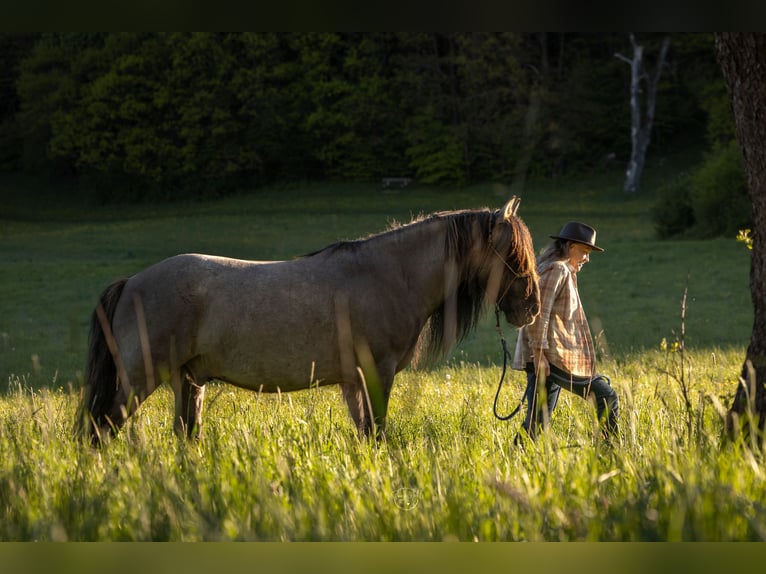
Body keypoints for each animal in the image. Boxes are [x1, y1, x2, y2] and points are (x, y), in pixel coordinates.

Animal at [76, 196, 540, 445]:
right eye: (514, 254)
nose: (531, 308)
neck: (386, 274)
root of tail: (132, 282)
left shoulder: (354, 382)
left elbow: (366, 434)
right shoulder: (377, 373)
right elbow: (378, 431)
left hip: (188, 382)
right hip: (140, 380)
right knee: (101, 431)